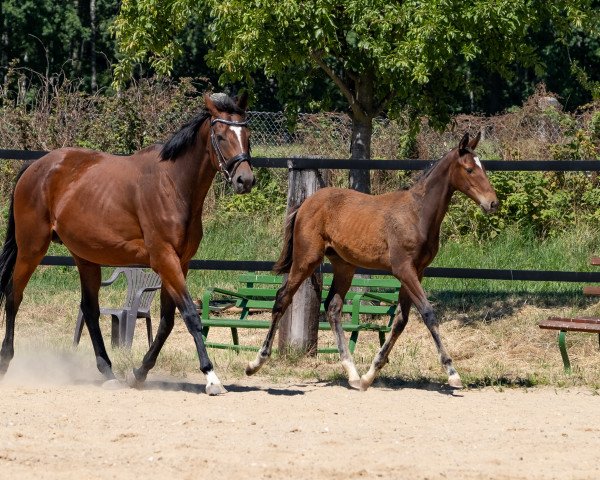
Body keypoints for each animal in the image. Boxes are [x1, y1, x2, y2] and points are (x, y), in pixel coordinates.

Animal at [0, 92, 253, 396]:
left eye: (247, 134)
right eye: (221, 135)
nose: (245, 180)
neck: (173, 185)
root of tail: (36, 167)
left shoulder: (180, 263)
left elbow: (167, 321)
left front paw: (139, 373)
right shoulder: (165, 259)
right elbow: (191, 315)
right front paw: (211, 378)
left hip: (85, 257)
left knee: (90, 310)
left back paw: (108, 372)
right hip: (31, 249)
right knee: (14, 296)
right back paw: (5, 361)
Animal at [246, 131, 500, 390]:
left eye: (483, 167)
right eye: (469, 169)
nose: (493, 203)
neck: (417, 214)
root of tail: (306, 203)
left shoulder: (416, 272)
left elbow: (400, 320)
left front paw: (371, 373)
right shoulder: (403, 269)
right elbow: (428, 313)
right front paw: (452, 372)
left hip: (344, 266)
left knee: (333, 307)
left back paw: (353, 373)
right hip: (306, 259)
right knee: (282, 298)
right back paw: (256, 363)